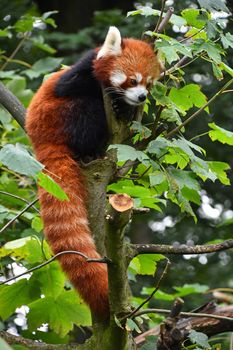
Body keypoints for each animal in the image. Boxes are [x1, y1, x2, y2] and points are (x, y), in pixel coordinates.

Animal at [25, 26, 160, 320]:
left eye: (149, 84)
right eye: (132, 80)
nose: (142, 97)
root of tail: (41, 140)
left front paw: (126, 109)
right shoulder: (81, 71)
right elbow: (73, 84)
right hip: (63, 116)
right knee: (90, 109)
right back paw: (88, 150)